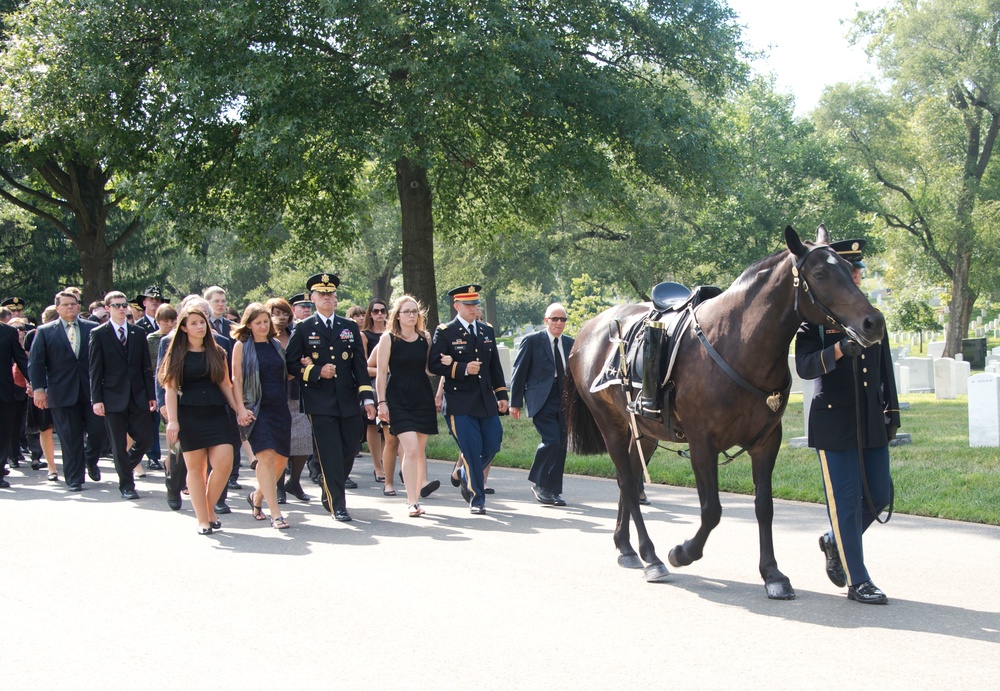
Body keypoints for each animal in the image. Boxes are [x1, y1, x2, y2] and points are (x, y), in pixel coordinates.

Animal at [568, 227, 888, 600]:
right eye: (821, 273)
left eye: (849, 270)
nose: (874, 323)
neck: (740, 344)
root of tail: (588, 331)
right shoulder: (702, 444)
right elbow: (712, 511)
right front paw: (682, 552)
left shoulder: (766, 442)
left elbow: (764, 506)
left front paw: (772, 574)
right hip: (612, 427)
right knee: (629, 485)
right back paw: (651, 557)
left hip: (644, 433)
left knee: (629, 479)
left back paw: (626, 547)